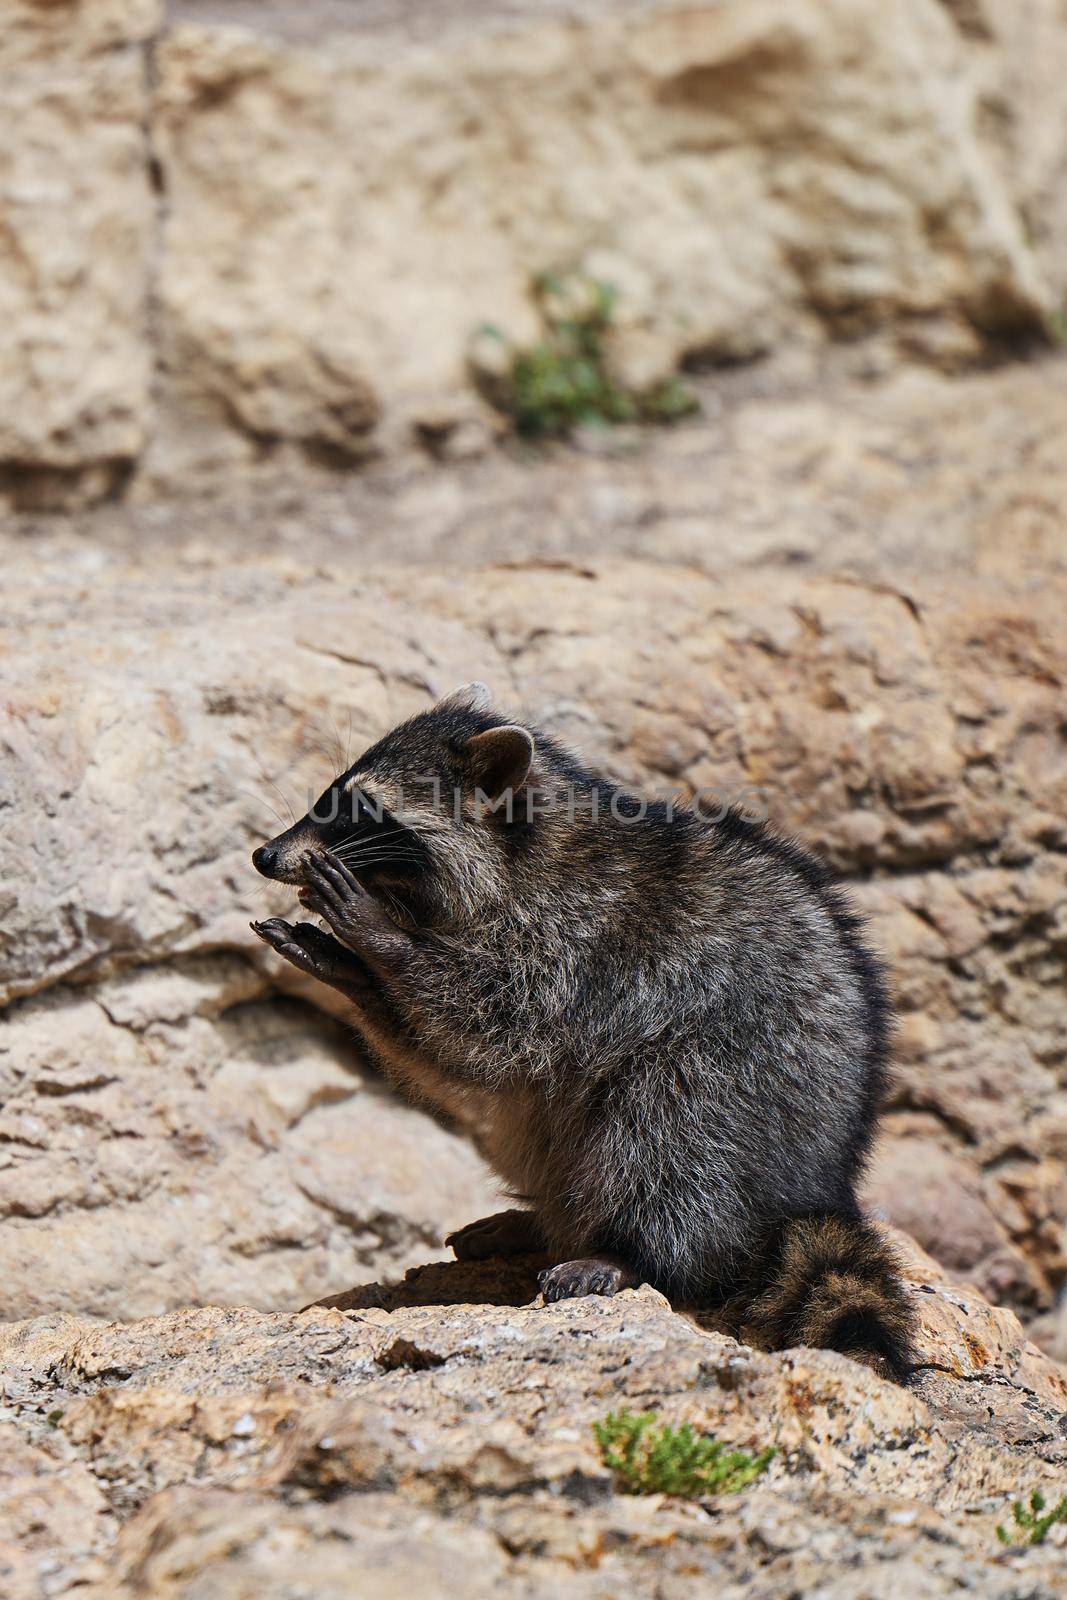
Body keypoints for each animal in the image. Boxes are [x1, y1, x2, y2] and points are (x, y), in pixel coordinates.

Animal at [252, 681, 921, 1382]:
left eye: (360, 807)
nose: (265, 855)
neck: (527, 847)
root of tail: (817, 1190)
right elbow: (461, 1050)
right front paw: (353, 971)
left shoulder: (584, 941)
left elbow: (494, 1023)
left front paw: (379, 940)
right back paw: (548, 1220)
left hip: (744, 1074)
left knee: (668, 1131)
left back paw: (626, 1249)